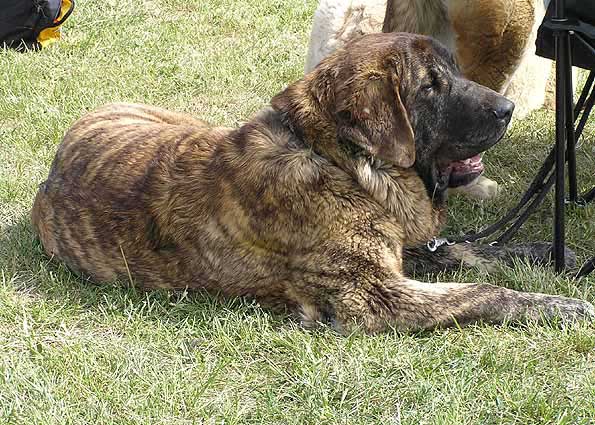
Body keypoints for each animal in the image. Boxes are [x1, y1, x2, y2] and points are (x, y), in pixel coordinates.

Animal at [32, 34, 595, 332]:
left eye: (454, 72)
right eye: (431, 87)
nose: (508, 108)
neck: (340, 162)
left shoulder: (402, 247)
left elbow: (471, 252)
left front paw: (552, 256)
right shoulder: (375, 295)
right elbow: (484, 291)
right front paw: (560, 305)